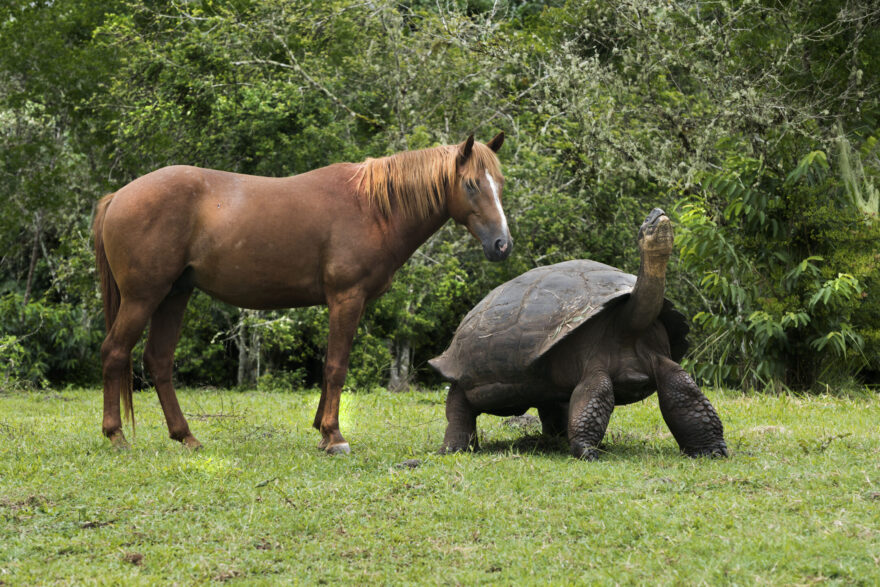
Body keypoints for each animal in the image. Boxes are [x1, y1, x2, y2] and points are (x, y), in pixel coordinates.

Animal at [92, 133, 510, 454]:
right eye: (471, 184)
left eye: (500, 184)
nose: (502, 245)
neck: (371, 208)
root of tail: (118, 196)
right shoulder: (346, 298)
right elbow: (336, 366)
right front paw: (334, 436)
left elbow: (328, 366)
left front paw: (321, 430)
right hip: (143, 297)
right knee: (114, 352)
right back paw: (116, 437)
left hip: (174, 296)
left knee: (158, 361)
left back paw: (186, 437)